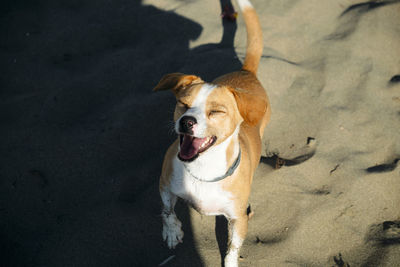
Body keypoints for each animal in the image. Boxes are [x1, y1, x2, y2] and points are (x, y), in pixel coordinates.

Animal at [155, 1, 270, 266]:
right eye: (183, 104)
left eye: (216, 111)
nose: (186, 122)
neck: (201, 170)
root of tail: (247, 72)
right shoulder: (164, 184)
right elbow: (167, 211)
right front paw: (172, 232)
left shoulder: (239, 218)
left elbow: (233, 247)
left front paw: (230, 261)